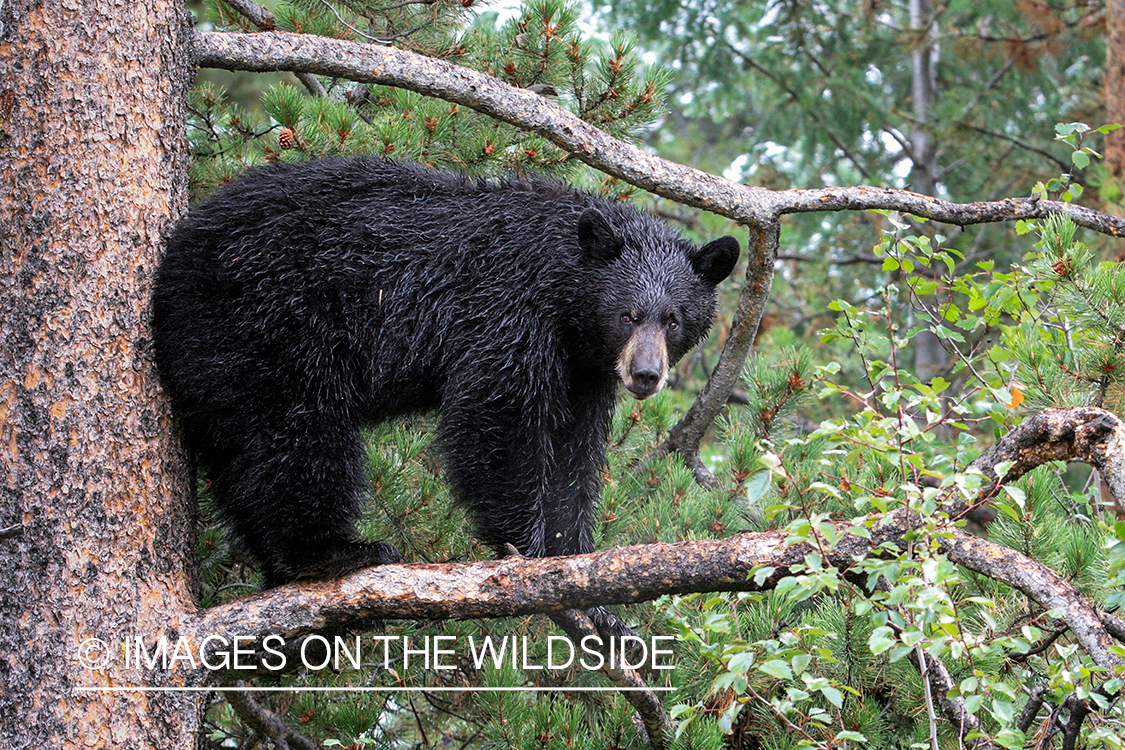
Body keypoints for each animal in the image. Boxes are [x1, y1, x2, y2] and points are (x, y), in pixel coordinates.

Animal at [151, 157, 739, 634]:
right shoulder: (506, 310)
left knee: (241, 453)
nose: (645, 374)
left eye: (674, 319)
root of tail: (174, 263)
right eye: (627, 315)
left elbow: (573, 457)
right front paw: (531, 554)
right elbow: (496, 417)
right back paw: (332, 553)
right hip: (268, 321)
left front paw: (591, 588)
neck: (562, 298)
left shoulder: (582, 371)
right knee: (296, 432)